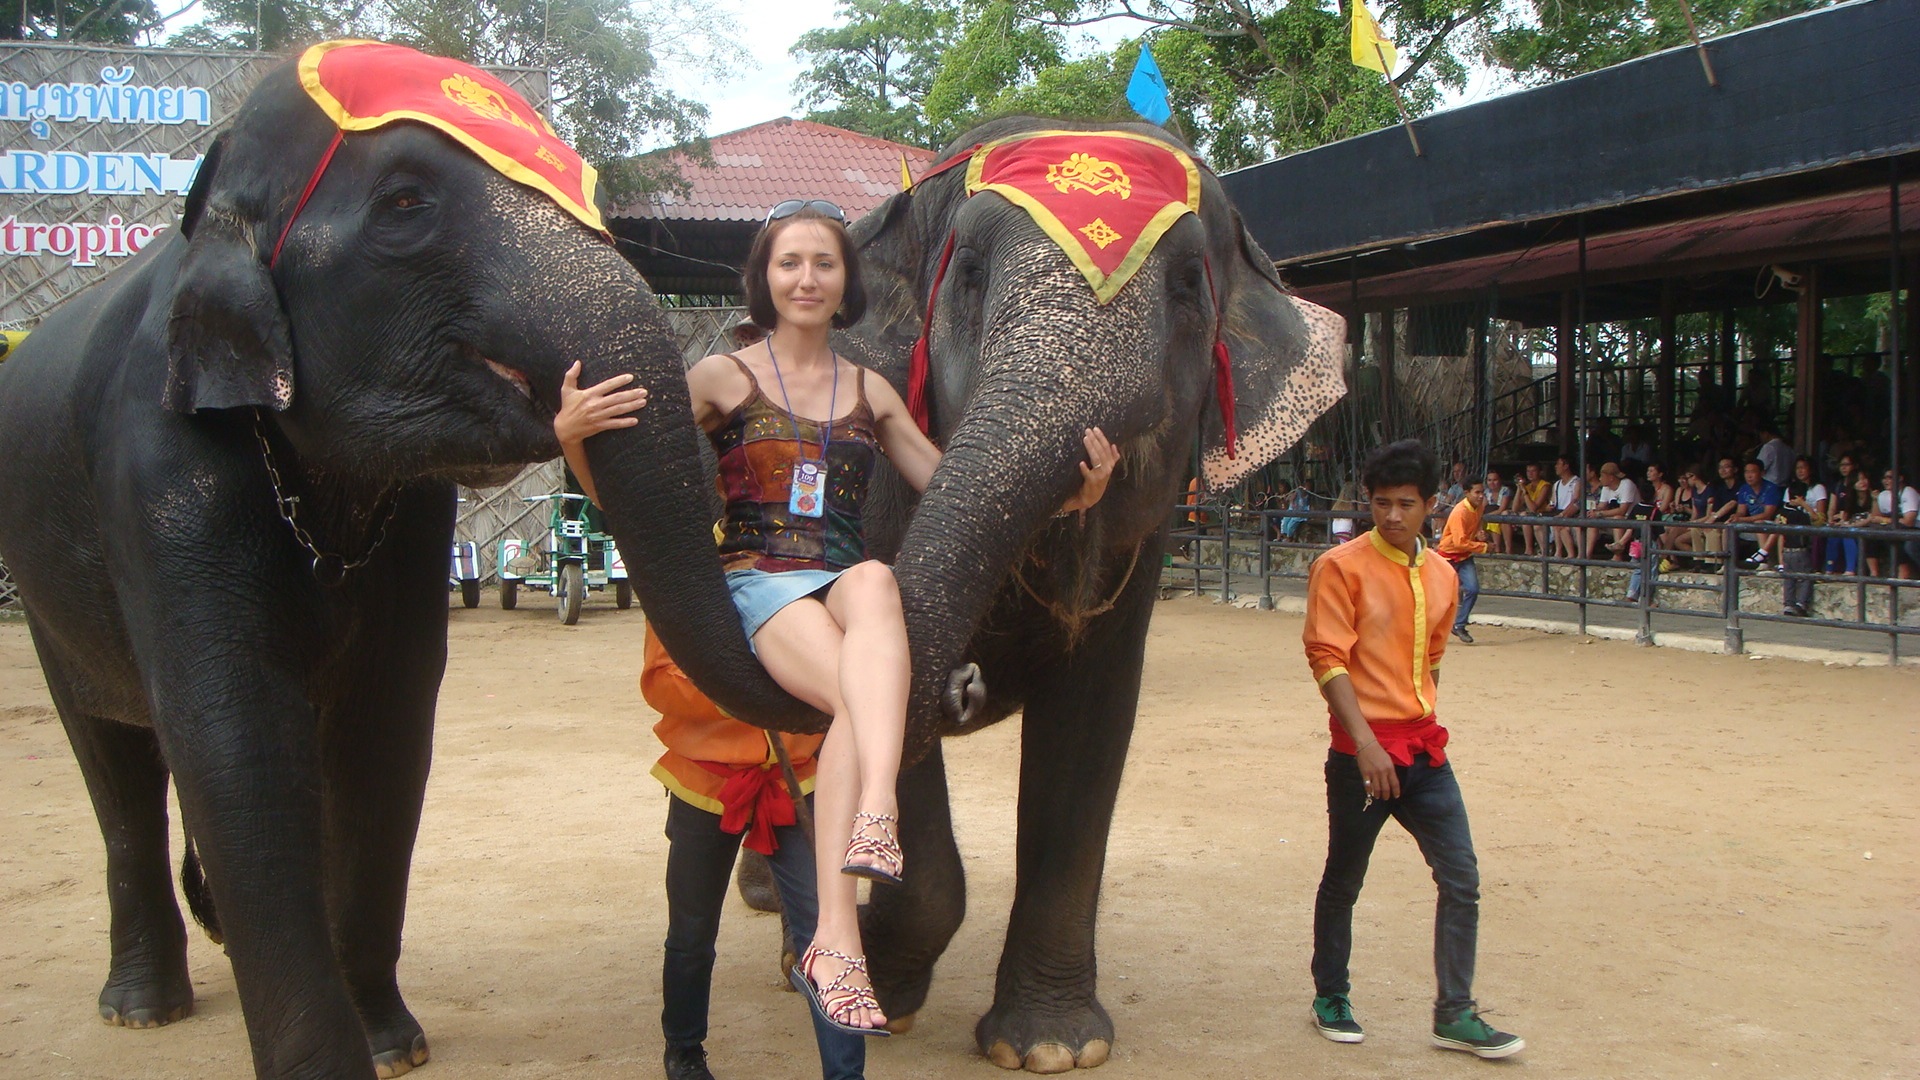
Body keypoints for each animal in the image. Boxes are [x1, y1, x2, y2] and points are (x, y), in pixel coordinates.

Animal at [0, 45, 817, 1080]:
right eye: (403, 204)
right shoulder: (156, 471)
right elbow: (231, 729)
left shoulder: (416, 516)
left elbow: (388, 725)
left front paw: (393, 1046)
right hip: (42, 583)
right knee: (113, 759)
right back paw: (142, 1009)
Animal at [821, 117, 1346, 1071]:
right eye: (969, 274)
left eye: (1188, 285)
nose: (968, 684)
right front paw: (879, 985)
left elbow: (1092, 725)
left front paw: (1050, 1048)